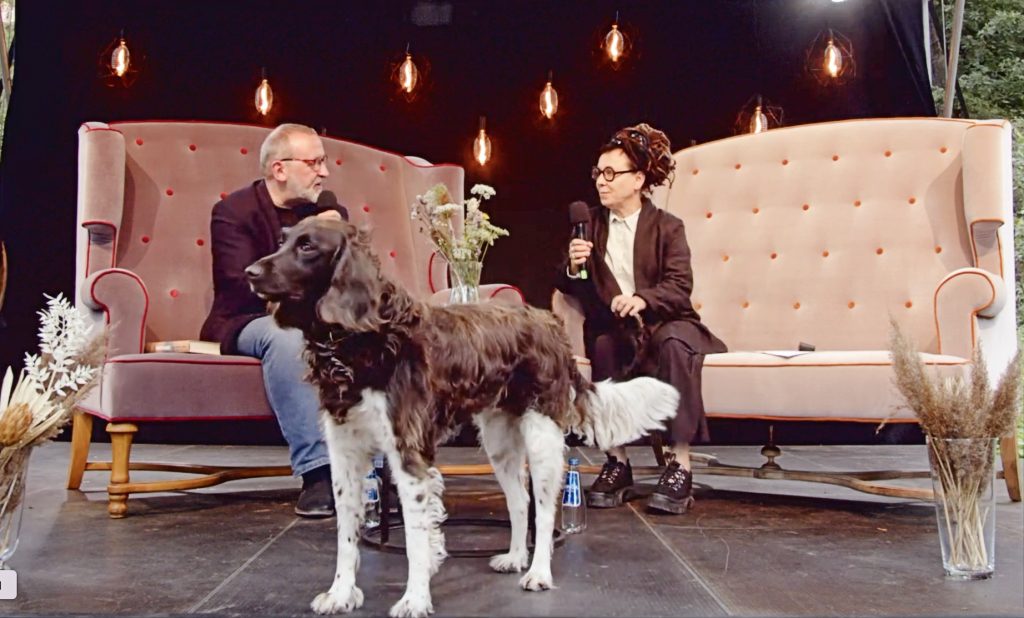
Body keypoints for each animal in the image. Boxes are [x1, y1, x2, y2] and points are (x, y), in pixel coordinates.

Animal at [245, 217, 681, 618]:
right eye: (283, 240)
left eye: (307, 247)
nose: (250, 272)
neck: (358, 342)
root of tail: (551, 324)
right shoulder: (344, 453)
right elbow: (346, 535)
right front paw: (340, 594)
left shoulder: (409, 454)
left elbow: (417, 541)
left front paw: (414, 599)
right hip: (500, 442)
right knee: (520, 501)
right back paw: (514, 558)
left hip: (541, 436)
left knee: (543, 509)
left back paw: (538, 572)